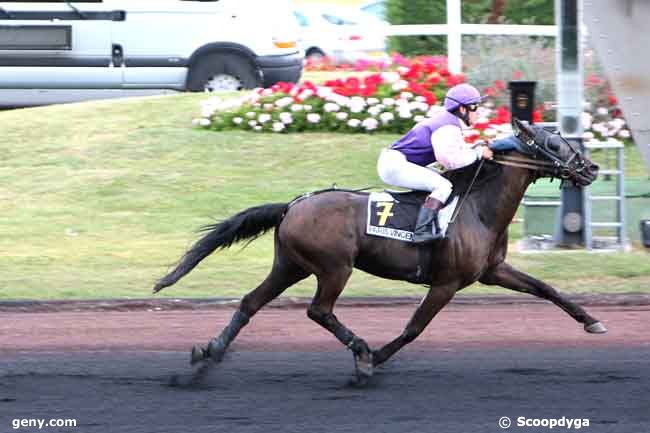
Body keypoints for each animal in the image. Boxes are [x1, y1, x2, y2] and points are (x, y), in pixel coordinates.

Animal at [154, 118, 600, 382]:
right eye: (554, 144)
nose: (592, 168)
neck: (477, 206)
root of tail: (292, 205)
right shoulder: (447, 282)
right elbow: (414, 327)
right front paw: (377, 357)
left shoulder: (492, 271)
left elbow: (545, 288)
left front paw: (591, 321)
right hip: (334, 268)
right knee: (319, 310)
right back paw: (361, 349)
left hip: (291, 265)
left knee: (250, 302)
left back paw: (207, 354)